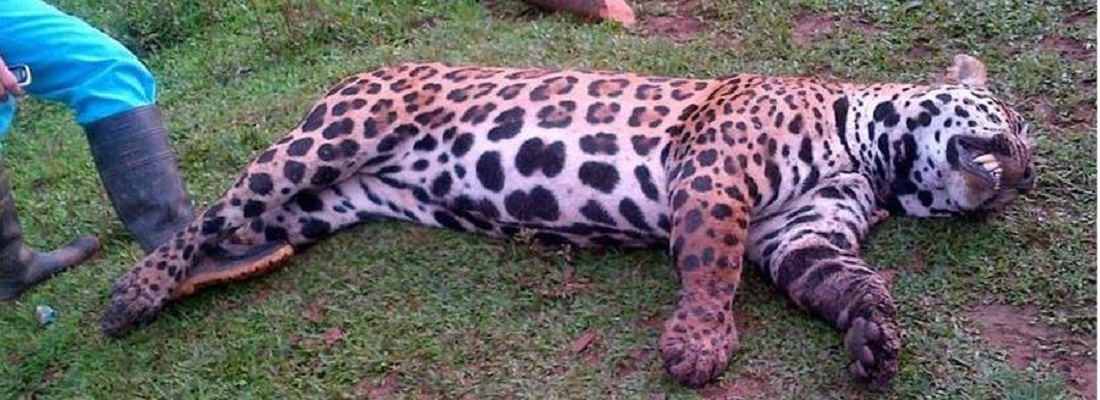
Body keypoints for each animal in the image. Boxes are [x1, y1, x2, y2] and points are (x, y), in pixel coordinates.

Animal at [97, 54, 1035, 388]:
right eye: (1011, 126)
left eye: (1030, 161)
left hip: (320, 207)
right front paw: (699, 345)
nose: (1022, 178)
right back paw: (133, 292)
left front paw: (873, 335)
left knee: (242, 229)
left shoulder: (802, 233)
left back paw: (196, 280)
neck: (872, 155)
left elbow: (844, 282)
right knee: (211, 213)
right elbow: (711, 264)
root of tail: (360, 73)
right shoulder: (715, 171)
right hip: (328, 139)